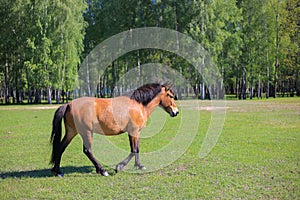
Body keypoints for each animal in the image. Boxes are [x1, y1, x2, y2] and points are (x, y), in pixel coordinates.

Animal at [50, 82, 179, 176]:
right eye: (170, 96)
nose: (176, 112)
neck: (138, 105)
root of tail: (68, 104)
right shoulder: (133, 131)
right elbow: (134, 150)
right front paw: (119, 167)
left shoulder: (135, 132)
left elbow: (137, 148)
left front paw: (139, 165)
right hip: (86, 132)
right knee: (88, 151)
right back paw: (102, 170)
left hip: (72, 132)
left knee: (61, 148)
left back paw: (57, 171)